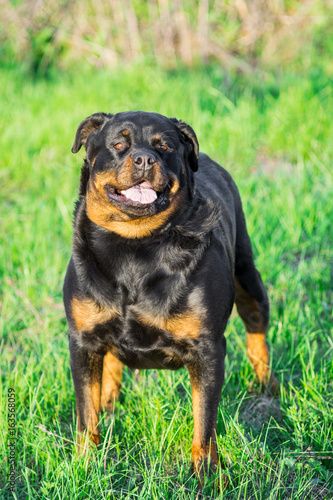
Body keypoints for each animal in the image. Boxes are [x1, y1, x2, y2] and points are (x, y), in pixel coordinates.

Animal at [62, 110, 278, 480]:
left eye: (165, 147)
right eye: (118, 145)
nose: (145, 159)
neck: (135, 246)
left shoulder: (207, 348)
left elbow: (204, 421)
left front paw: (207, 475)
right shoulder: (83, 340)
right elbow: (86, 415)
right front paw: (86, 466)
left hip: (248, 277)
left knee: (256, 329)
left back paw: (266, 385)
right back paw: (110, 398)